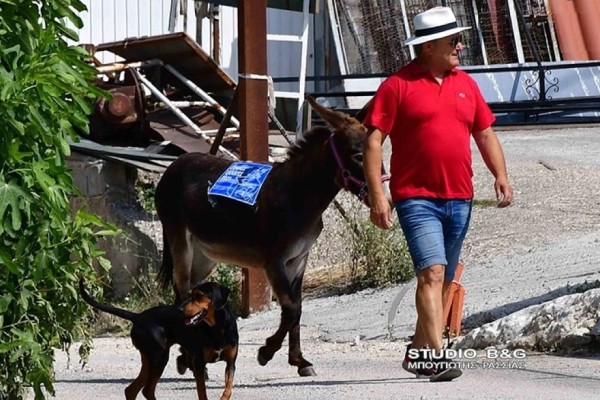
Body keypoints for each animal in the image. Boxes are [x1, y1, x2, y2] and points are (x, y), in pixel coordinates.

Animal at [78, 280, 238, 400]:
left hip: (151, 360)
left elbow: (228, 388)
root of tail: (139, 317)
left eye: (199, 296)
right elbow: (202, 393)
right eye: (189, 295)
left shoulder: (230, 363)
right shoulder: (198, 363)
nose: (180, 310)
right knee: (146, 390)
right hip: (159, 358)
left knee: (131, 390)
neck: (217, 328)